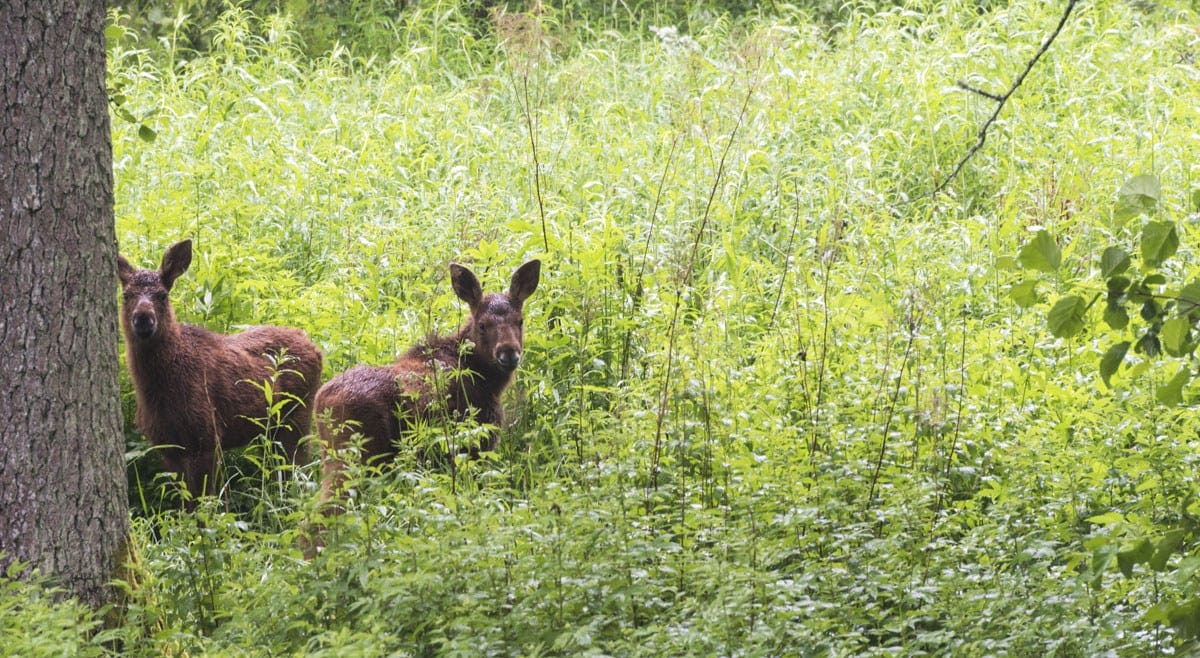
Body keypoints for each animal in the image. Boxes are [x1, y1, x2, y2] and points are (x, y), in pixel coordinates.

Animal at [117, 238, 324, 506]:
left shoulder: (207, 436)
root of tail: (317, 349)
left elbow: (207, 501)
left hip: (298, 413)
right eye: (126, 295)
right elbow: (186, 503)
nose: (143, 318)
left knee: (300, 469)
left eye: (162, 295)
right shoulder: (166, 445)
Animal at [319, 259, 544, 506]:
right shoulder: (477, 442)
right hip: (359, 456)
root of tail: (322, 405)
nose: (509, 353)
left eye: (520, 321)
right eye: (483, 325)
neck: (488, 381)